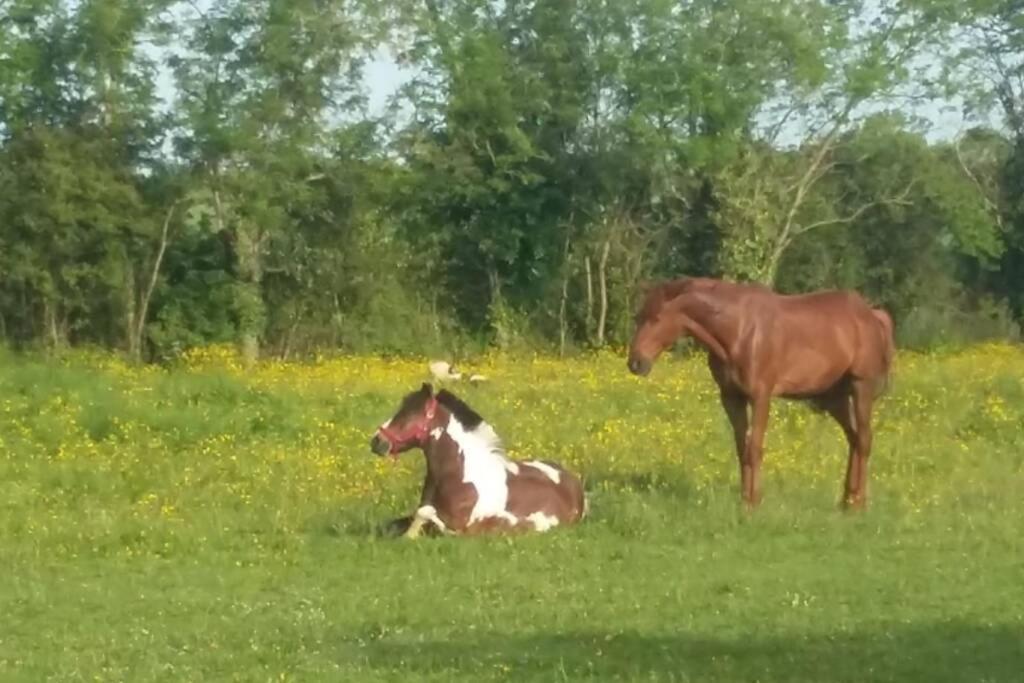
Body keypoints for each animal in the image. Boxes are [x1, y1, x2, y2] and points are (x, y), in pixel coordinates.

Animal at [370, 385, 589, 540]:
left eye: (410, 414)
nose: (376, 442)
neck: (459, 474)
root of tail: (574, 483)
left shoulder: (461, 528)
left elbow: (424, 513)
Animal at [622, 276, 897, 507]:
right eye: (638, 317)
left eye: (657, 318)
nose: (635, 362)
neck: (739, 330)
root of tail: (871, 314)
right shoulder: (732, 398)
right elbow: (741, 448)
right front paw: (744, 500)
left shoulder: (761, 396)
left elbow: (755, 448)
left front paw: (754, 502)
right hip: (834, 397)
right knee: (854, 439)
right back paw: (846, 501)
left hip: (861, 388)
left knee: (864, 440)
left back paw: (857, 504)